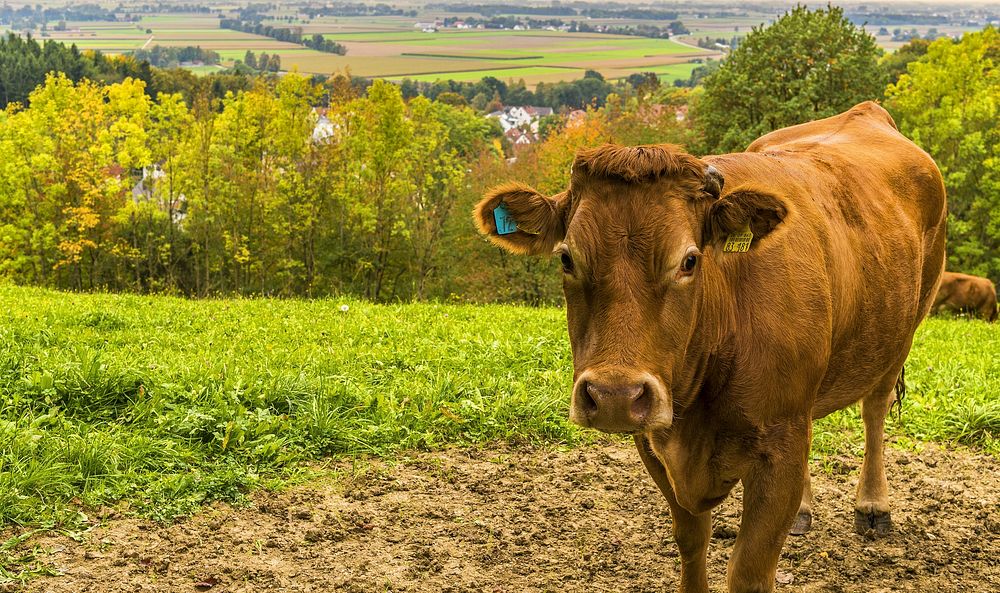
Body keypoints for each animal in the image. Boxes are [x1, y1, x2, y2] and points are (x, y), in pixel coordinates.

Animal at [474, 103, 944, 592]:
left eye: (689, 260)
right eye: (567, 258)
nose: (613, 396)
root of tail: (865, 112)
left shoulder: (780, 446)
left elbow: (749, 571)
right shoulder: (655, 440)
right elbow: (691, 539)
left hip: (905, 326)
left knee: (875, 408)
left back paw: (873, 506)